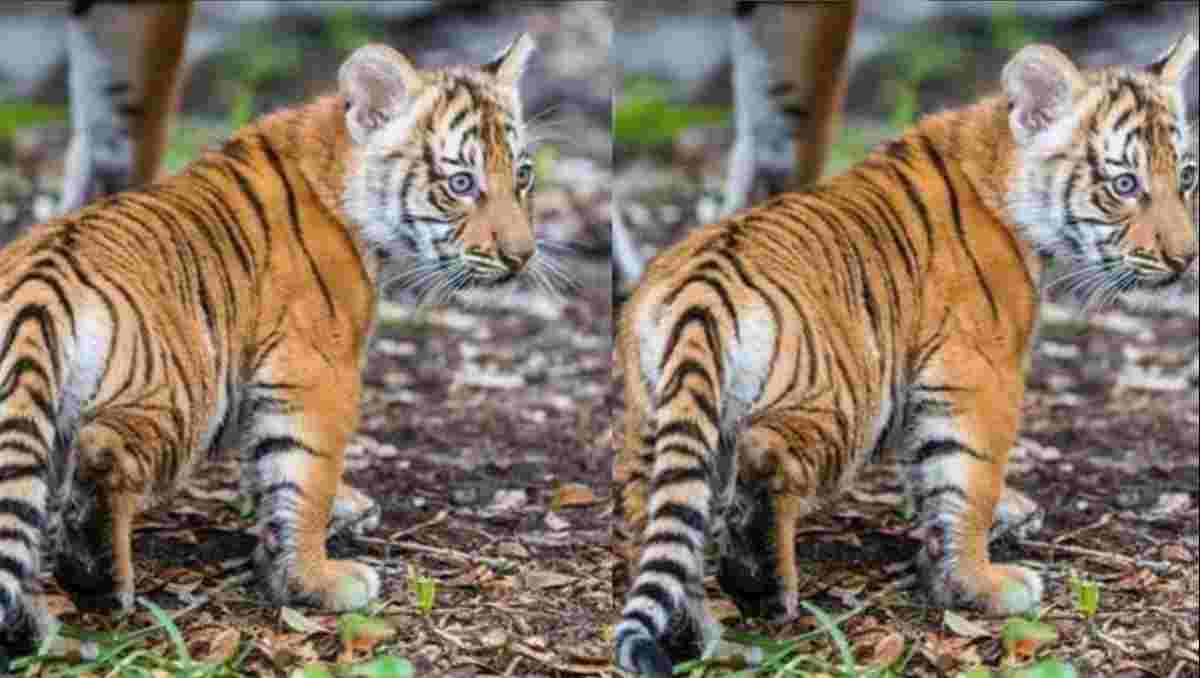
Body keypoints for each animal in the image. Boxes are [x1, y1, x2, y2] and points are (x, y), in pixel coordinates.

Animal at [0, 34, 539, 654]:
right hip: (182, 393)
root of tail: (39, 280)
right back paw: (96, 580)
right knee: (103, 451)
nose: (522, 256)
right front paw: (313, 579)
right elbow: (303, 476)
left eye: (523, 175)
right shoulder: (316, 372)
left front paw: (340, 512)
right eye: (461, 184)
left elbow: (268, 463)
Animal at [614, 35, 1198, 675]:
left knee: (661, 519)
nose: (1186, 259)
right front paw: (979, 584)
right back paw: (760, 585)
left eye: (1187, 176)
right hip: (844, 400)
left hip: (656, 423)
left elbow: (931, 472)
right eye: (1125, 185)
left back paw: (699, 631)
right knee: (766, 454)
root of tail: (702, 287)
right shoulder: (979, 373)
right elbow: (968, 478)